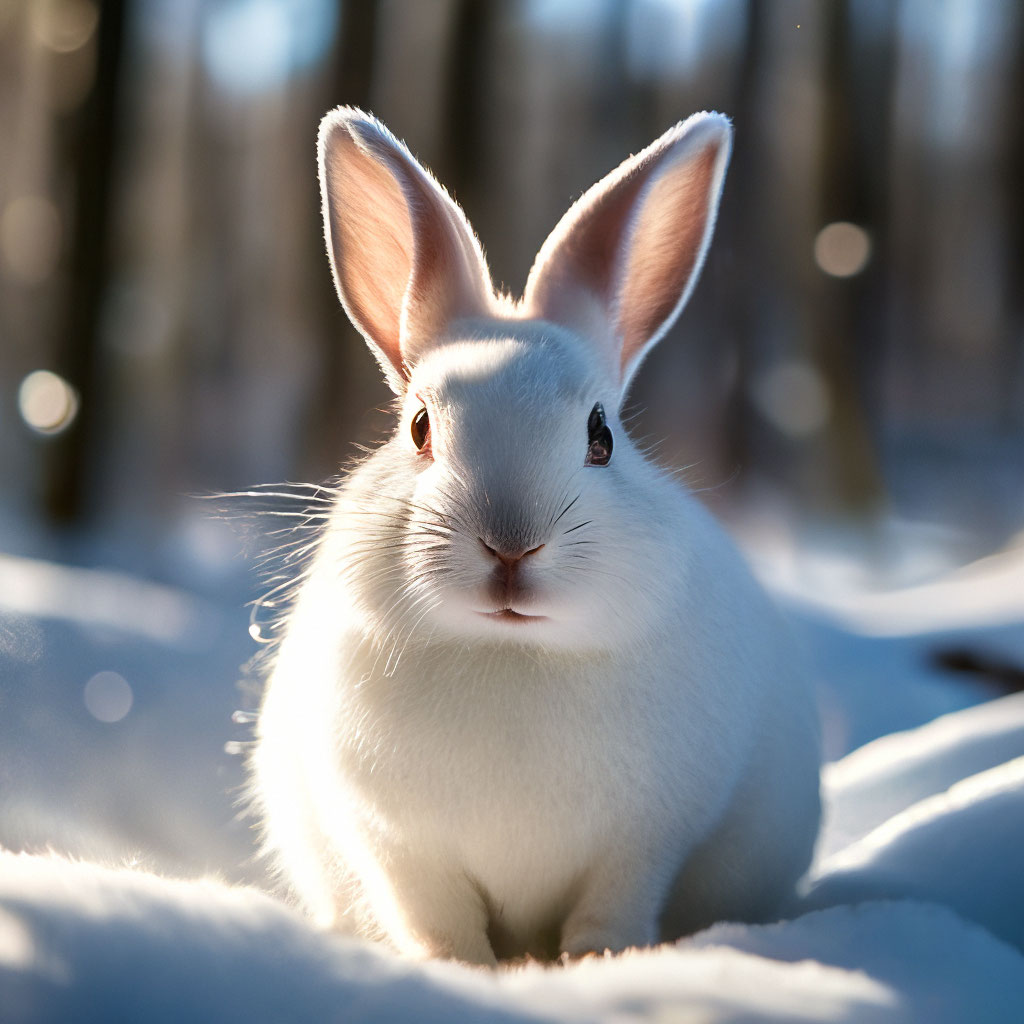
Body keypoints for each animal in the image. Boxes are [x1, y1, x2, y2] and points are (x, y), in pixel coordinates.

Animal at [250, 107, 821, 966]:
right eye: (418, 428)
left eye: (602, 436)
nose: (511, 547)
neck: (510, 650)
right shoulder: (398, 848)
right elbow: (436, 918)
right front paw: (456, 970)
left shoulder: (642, 844)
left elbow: (611, 905)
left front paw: (596, 962)